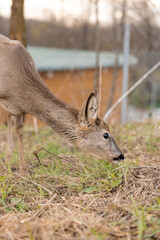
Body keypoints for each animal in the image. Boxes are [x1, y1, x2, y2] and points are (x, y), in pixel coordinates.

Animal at [0, 33, 125, 173]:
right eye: (105, 134)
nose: (121, 155)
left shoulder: (17, 107)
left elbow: (19, 129)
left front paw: (21, 169)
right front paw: (20, 169)